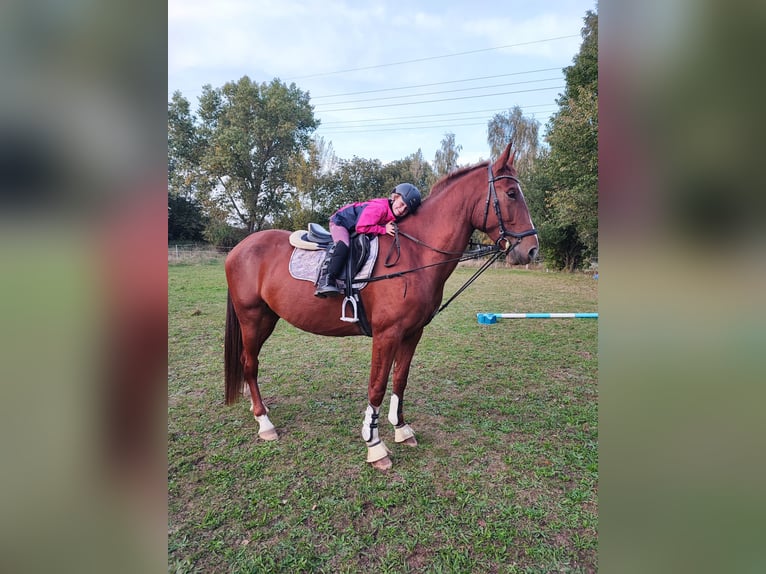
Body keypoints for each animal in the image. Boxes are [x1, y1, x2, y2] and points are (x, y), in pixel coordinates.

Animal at [224, 143, 539, 470]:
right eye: (511, 194)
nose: (532, 250)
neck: (415, 253)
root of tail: (240, 247)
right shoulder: (387, 334)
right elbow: (377, 386)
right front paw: (375, 446)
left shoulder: (412, 333)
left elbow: (400, 379)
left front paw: (401, 429)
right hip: (251, 318)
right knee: (250, 363)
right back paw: (264, 422)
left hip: (267, 319)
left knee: (248, 362)